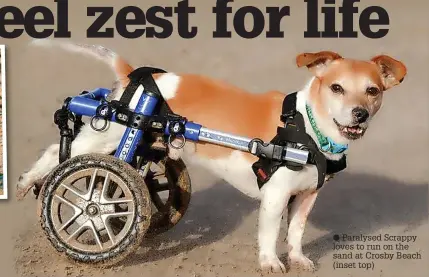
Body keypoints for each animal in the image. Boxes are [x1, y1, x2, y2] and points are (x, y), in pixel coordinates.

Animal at [16, 41, 404, 272]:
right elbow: (269, 234)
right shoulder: (275, 195)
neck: (309, 128)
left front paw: (296, 258)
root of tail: (135, 76)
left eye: (373, 91)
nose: (359, 114)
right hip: (105, 137)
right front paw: (270, 262)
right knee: (59, 155)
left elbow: (295, 232)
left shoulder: (306, 197)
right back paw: (30, 180)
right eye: (337, 87)